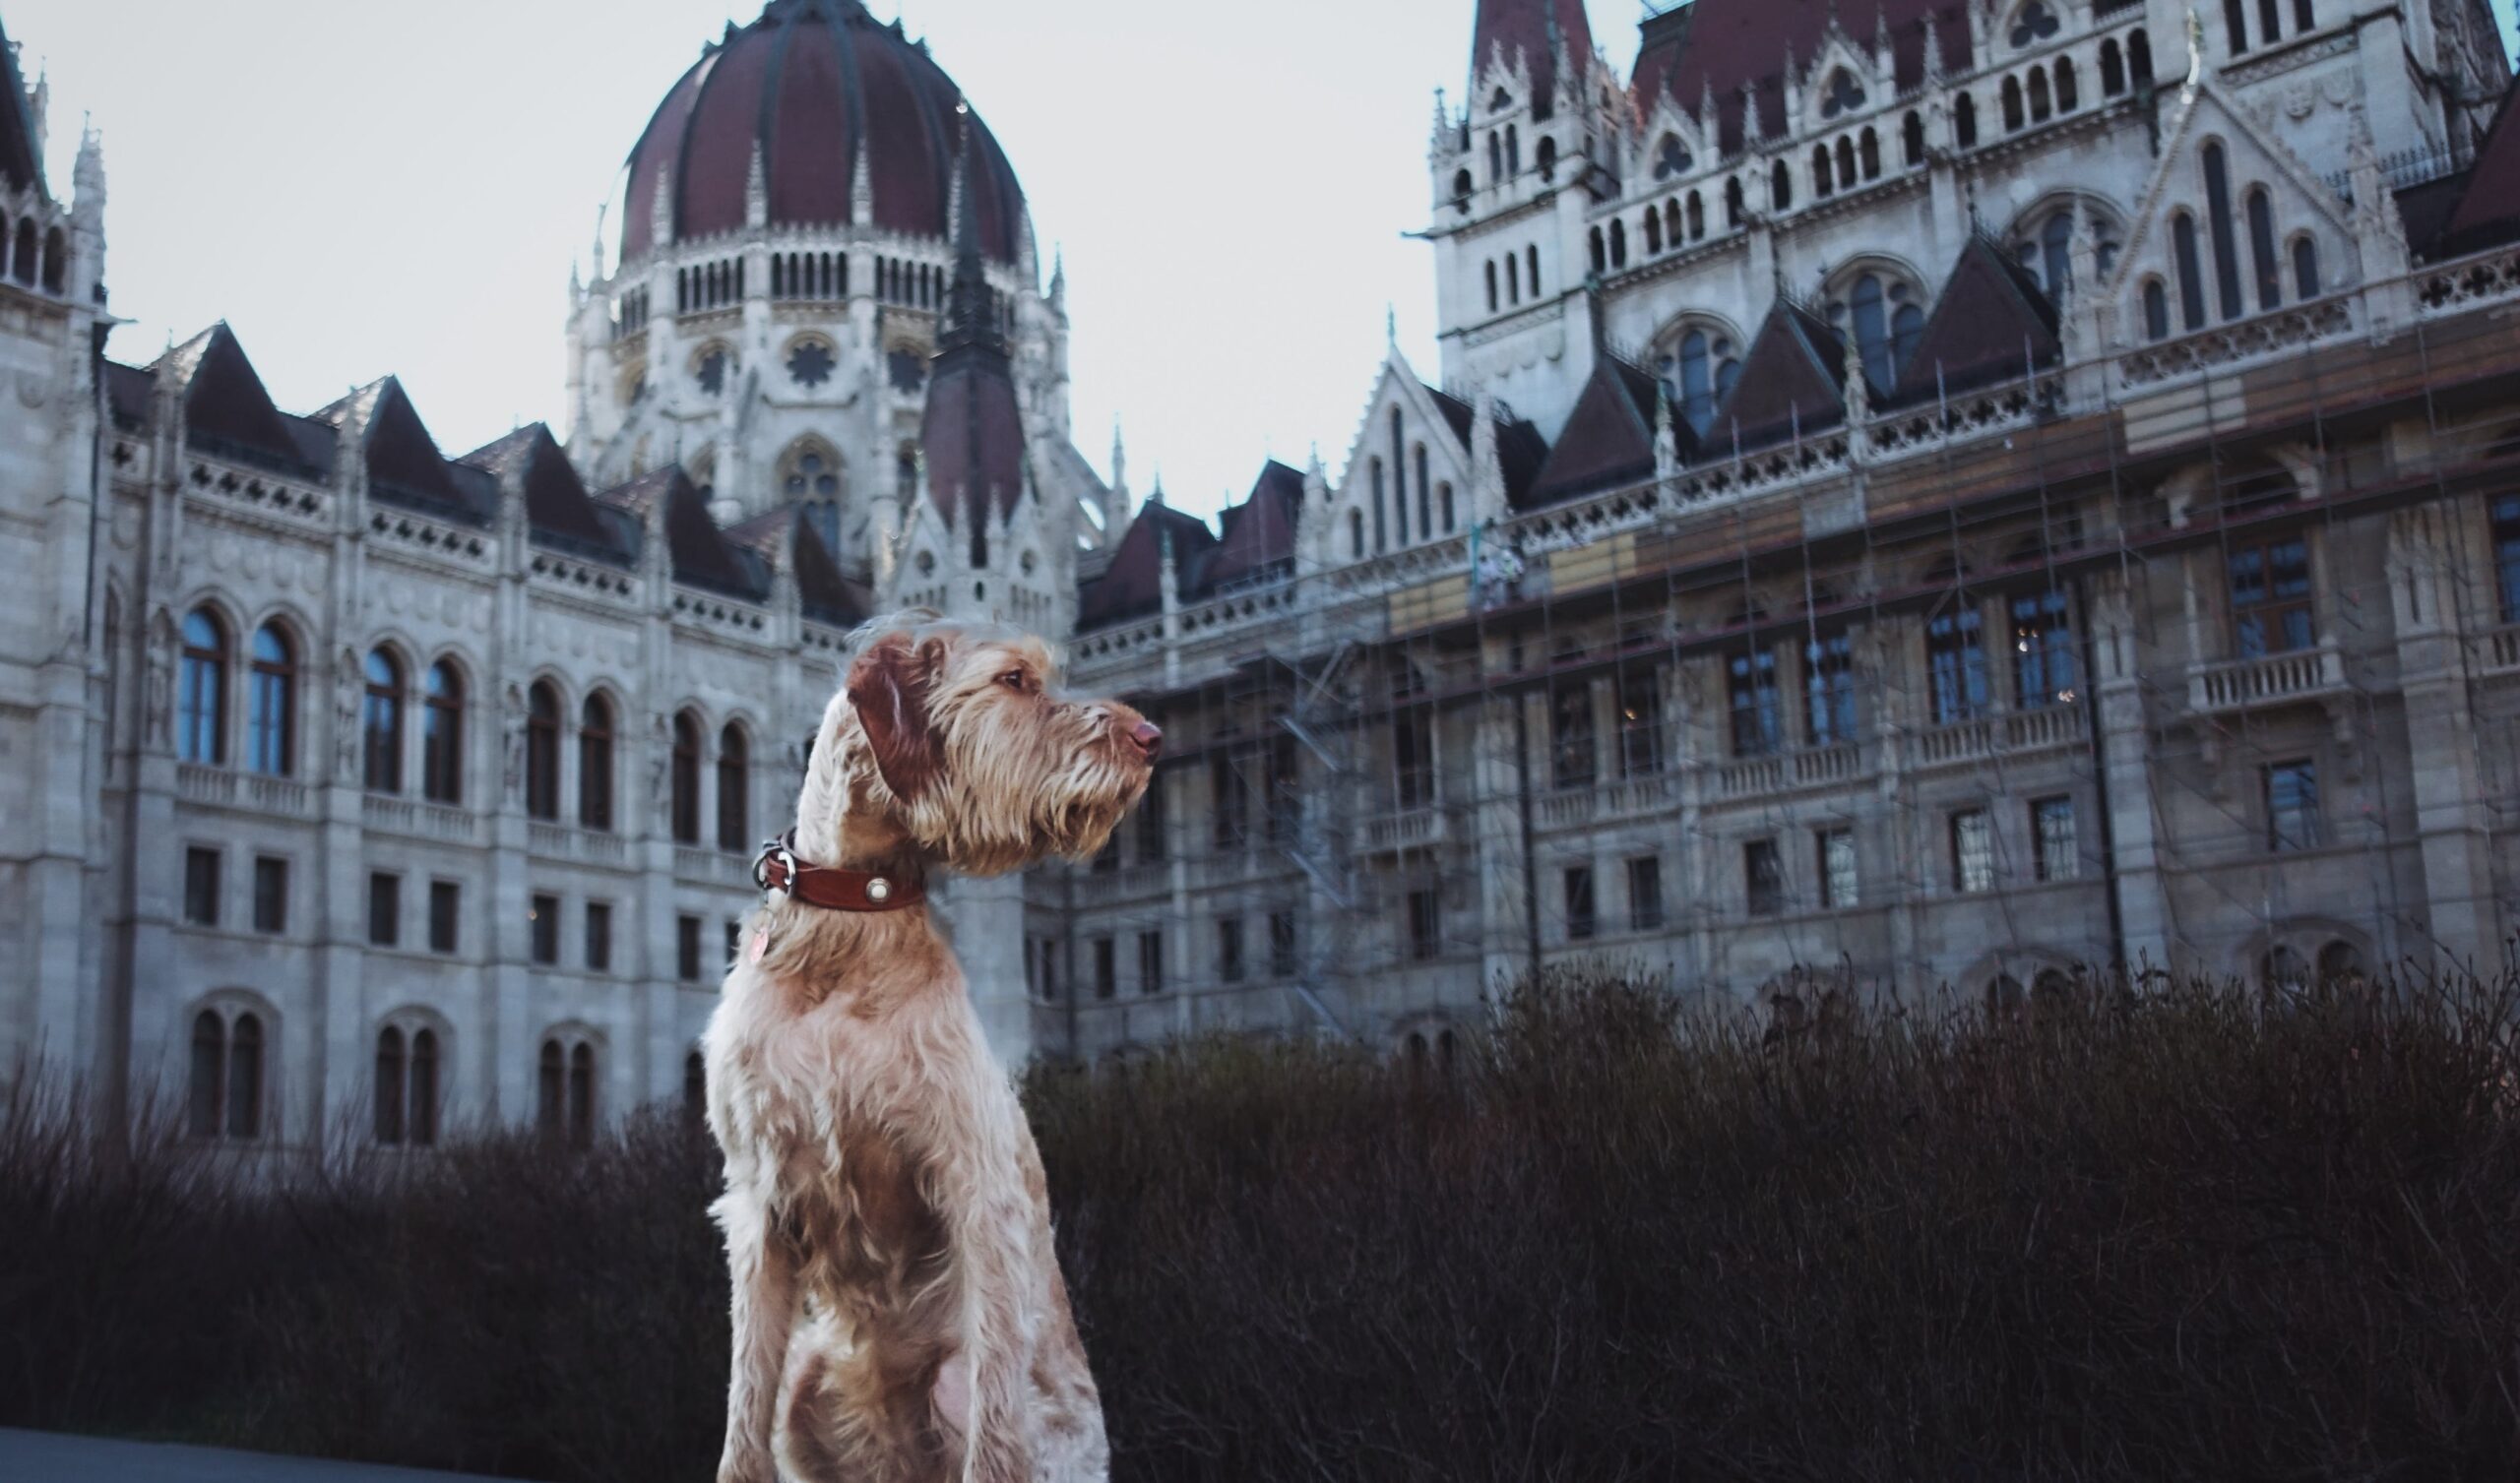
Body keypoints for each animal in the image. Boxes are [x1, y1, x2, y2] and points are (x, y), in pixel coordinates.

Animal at [700, 609, 1154, 1480]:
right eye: (1014, 679)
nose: (1151, 735)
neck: (849, 930)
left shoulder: (975, 1186)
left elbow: (996, 1436)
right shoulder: (759, 1199)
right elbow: (741, 1409)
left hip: (965, 1385)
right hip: (812, 1372)